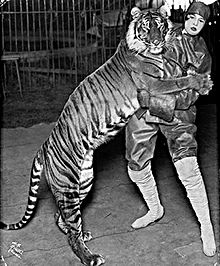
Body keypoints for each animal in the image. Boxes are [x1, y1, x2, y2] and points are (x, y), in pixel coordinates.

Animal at [0, 6, 212, 266]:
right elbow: (180, 80)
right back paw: (89, 256)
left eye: (160, 25)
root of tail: (45, 145)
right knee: (71, 228)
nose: (156, 41)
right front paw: (202, 81)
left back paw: (82, 234)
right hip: (68, 186)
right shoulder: (154, 85)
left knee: (61, 217)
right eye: (145, 27)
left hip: (83, 181)